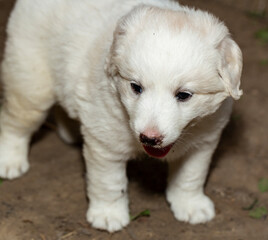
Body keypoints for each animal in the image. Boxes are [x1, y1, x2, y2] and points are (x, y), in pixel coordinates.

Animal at [0, 0, 243, 233]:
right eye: (136, 87)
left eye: (184, 95)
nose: (149, 138)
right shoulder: (106, 145)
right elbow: (109, 183)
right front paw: (108, 215)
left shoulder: (204, 142)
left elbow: (190, 177)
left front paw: (190, 205)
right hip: (30, 84)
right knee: (15, 122)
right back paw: (9, 161)